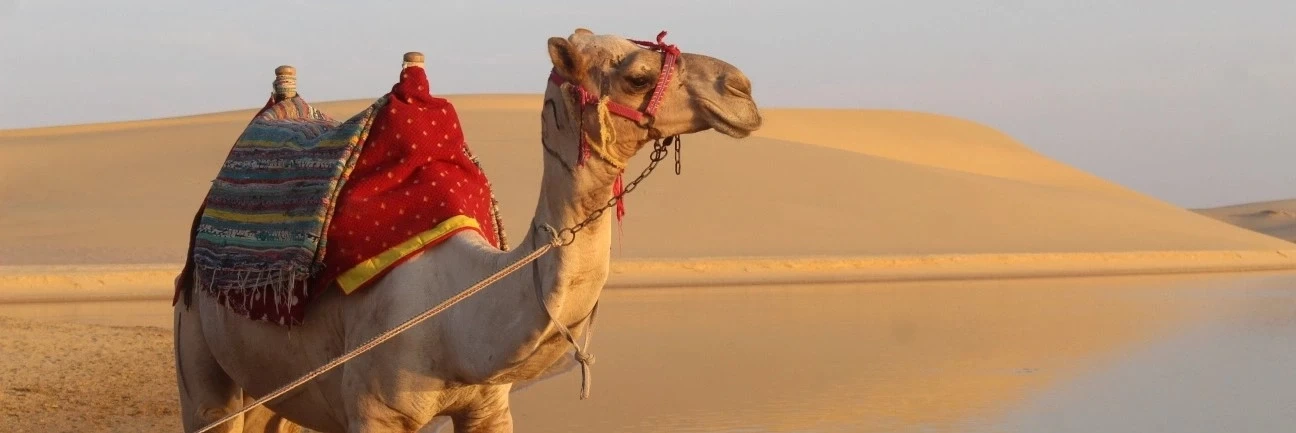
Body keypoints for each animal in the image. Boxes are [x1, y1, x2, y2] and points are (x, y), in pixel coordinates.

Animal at [173, 28, 762, 433]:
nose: (743, 90)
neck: (455, 313)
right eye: (637, 76)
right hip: (200, 357)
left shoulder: (487, 409)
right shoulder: (373, 413)